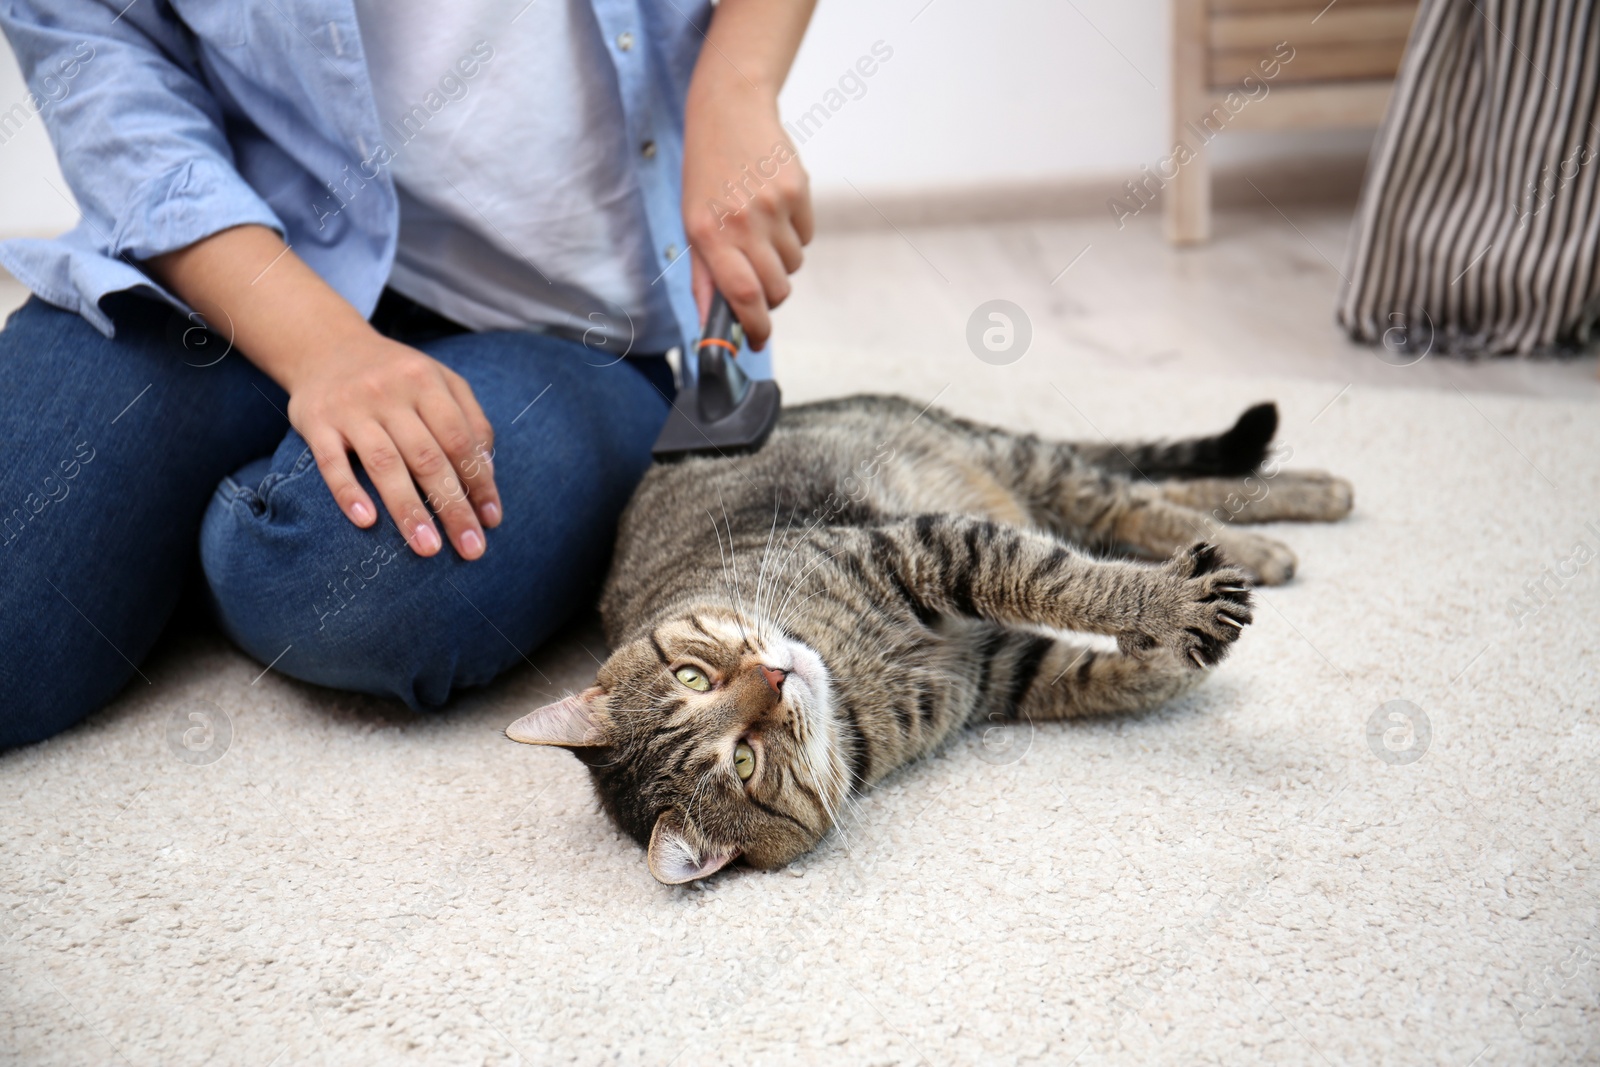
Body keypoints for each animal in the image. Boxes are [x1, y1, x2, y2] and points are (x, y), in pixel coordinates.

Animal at [508, 398, 1350, 883]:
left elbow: (1066, 581)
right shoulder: (999, 668)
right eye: (746, 763)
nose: (776, 680)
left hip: (1020, 461)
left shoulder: (932, 548)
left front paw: (1168, 606)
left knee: (1138, 498)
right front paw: (1166, 649)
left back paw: (1277, 524)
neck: (848, 684)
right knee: (1140, 500)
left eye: (692, 676)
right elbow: (1103, 672)